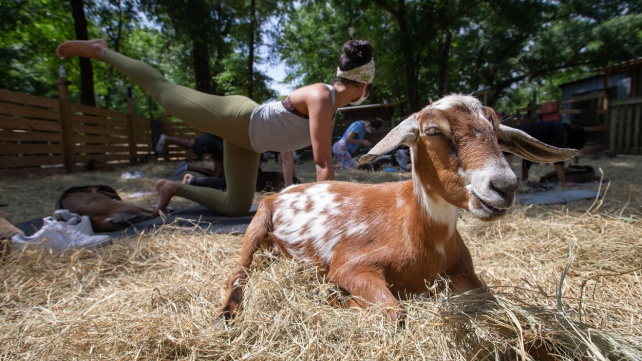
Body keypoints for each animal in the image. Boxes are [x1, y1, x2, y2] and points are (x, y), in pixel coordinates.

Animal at [216, 94, 576, 320]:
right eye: (433, 130)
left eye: (497, 133)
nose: (504, 186)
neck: (423, 238)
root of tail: (283, 191)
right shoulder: (350, 265)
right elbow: (394, 312)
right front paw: (333, 296)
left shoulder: (466, 274)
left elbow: (489, 298)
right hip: (257, 223)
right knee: (239, 271)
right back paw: (226, 314)